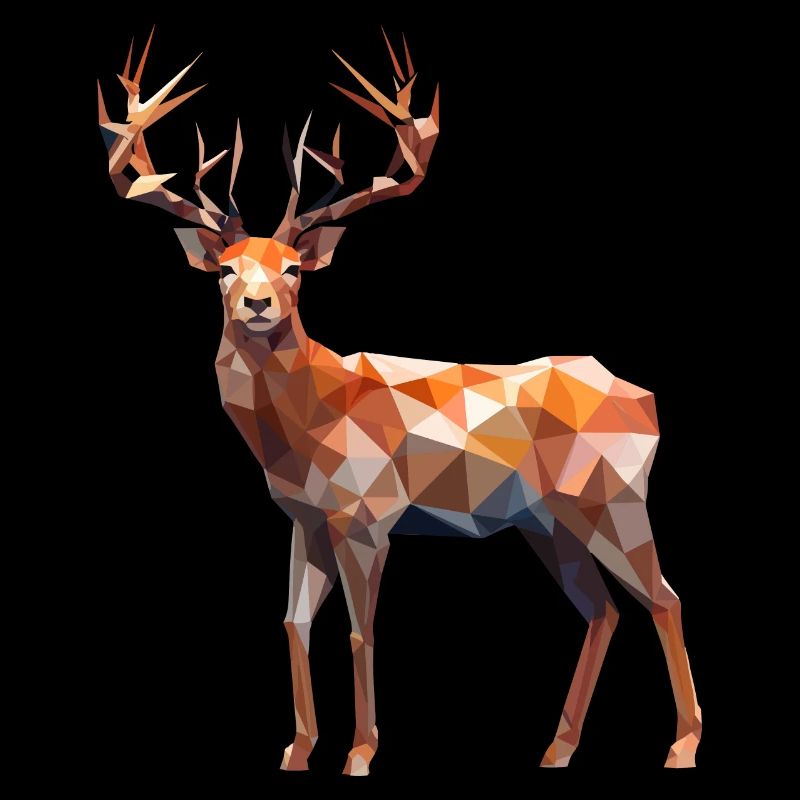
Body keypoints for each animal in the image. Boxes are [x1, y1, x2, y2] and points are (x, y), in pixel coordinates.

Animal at [98, 29, 702, 774]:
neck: (311, 421)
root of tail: (645, 399)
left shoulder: (368, 517)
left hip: (611, 498)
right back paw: (556, 750)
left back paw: (683, 745)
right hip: (546, 523)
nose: (258, 304)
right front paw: (296, 753)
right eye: (225, 269)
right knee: (602, 610)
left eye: (293, 268)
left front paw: (359, 754)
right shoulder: (306, 520)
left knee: (664, 599)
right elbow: (294, 623)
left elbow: (361, 633)